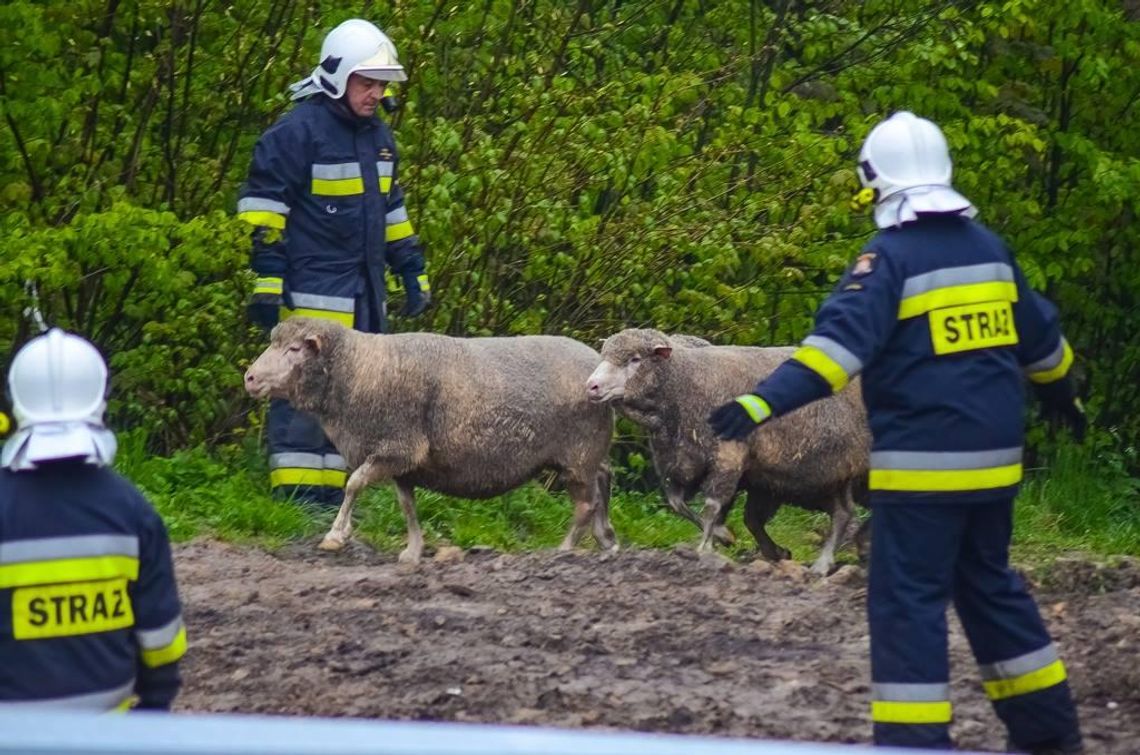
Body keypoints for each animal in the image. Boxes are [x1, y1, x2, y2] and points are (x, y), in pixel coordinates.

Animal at [241, 317, 615, 565]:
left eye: (293, 349)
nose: (250, 378)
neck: (358, 370)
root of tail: (598, 364)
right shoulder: (404, 464)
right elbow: (407, 506)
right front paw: (413, 551)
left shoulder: (398, 447)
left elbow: (354, 483)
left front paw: (335, 536)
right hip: (586, 452)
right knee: (604, 478)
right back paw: (607, 539)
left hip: (579, 452)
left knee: (585, 504)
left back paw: (564, 550)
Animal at [583, 328, 866, 577]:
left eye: (635, 359)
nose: (591, 386)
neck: (684, 382)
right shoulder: (679, 462)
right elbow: (678, 505)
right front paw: (723, 536)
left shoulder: (727, 458)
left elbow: (712, 506)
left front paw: (704, 548)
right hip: (802, 479)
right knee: (831, 513)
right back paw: (786, 553)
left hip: (838, 469)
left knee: (843, 514)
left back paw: (825, 562)